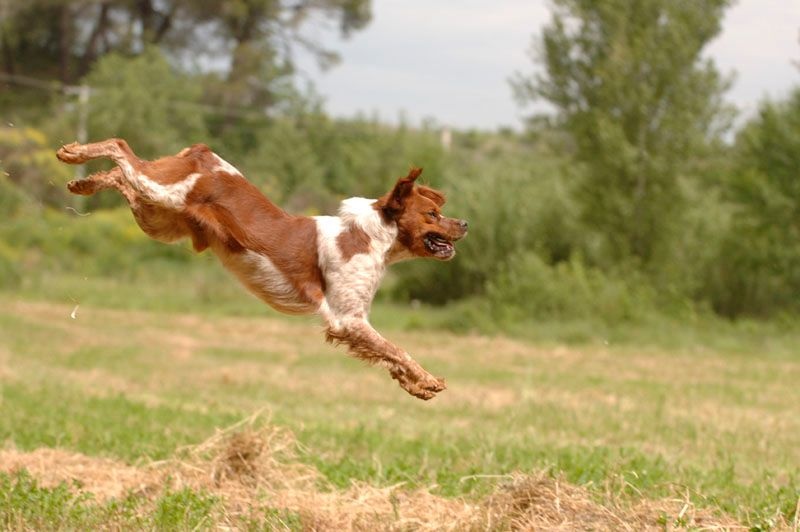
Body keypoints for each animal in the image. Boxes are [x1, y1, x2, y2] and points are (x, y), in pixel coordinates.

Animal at [56, 139, 467, 400]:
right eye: (432, 214)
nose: (464, 224)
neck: (372, 237)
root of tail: (204, 154)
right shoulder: (347, 319)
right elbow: (398, 349)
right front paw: (427, 380)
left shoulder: (353, 323)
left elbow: (389, 356)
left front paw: (413, 385)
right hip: (161, 192)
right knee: (121, 148)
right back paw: (73, 153)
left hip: (157, 218)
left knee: (121, 177)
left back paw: (83, 182)